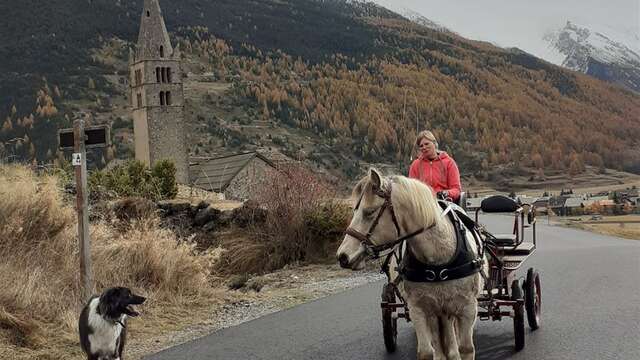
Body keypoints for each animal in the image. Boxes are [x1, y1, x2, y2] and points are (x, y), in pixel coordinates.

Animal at [336, 169, 484, 360]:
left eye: (370, 212)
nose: (342, 256)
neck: (438, 259)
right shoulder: (419, 310)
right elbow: (427, 352)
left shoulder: (467, 308)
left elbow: (465, 348)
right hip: (437, 312)